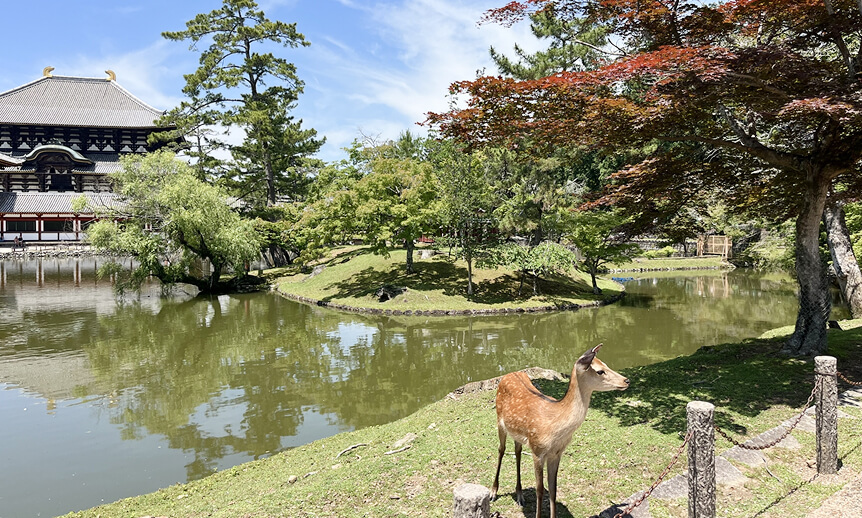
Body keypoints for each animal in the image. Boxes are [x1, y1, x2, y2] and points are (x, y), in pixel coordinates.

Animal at [491, 344, 629, 518]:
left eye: (607, 364)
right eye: (600, 371)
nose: (626, 380)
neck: (555, 428)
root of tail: (508, 374)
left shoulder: (556, 453)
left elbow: (553, 489)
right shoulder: (537, 450)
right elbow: (540, 490)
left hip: (518, 434)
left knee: (517, 451)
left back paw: (520, 495)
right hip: (499, 421)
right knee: (501, 450)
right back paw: (493, 492)